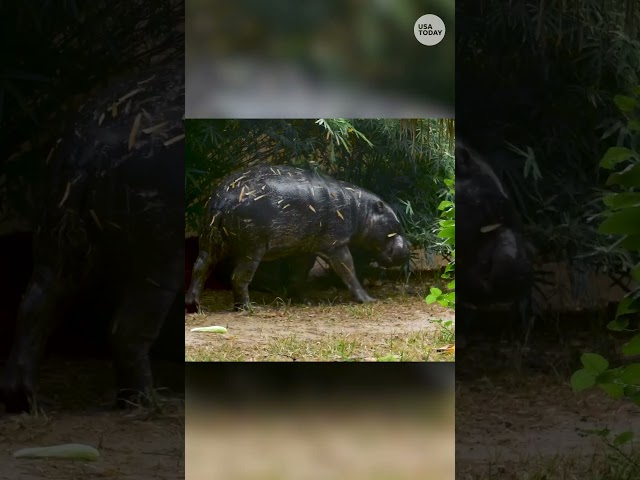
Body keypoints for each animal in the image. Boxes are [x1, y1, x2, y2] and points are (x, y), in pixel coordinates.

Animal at [185, 164, 410, 312]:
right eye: (395, 226)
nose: (407, 248)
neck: (360, 210)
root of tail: (222, 200)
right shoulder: (335, 244)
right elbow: (347, 269)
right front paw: (368, 299)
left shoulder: (305, 247)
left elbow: (299, 273)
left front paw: (302, 300)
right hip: (253, 247)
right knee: (238, 276)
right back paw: (249, 308)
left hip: (209, 241)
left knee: (200, 268)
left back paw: (194, 306)